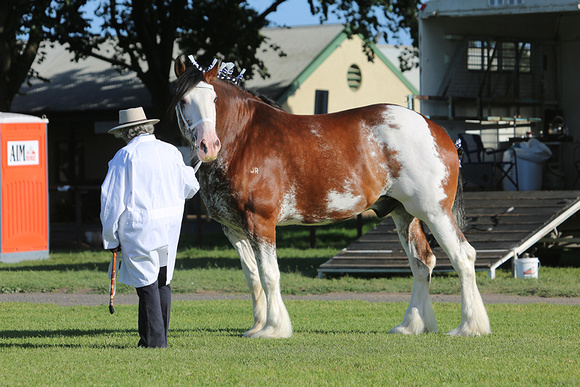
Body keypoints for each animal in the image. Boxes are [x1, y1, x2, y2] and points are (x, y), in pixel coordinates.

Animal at [171, 58, 490, 340]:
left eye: (214, 99)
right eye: (183, 100)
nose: (208, 145)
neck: (243, 140)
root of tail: (437, 130)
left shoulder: (261, 222)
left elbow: (269, 274)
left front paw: (274, 329)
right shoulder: (234, 229)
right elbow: (252, 277)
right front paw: (257, 326)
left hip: (434, 212)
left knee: (463, 256)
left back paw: (470, 327)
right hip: (404, 215)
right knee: (422, 263)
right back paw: (411, 326)